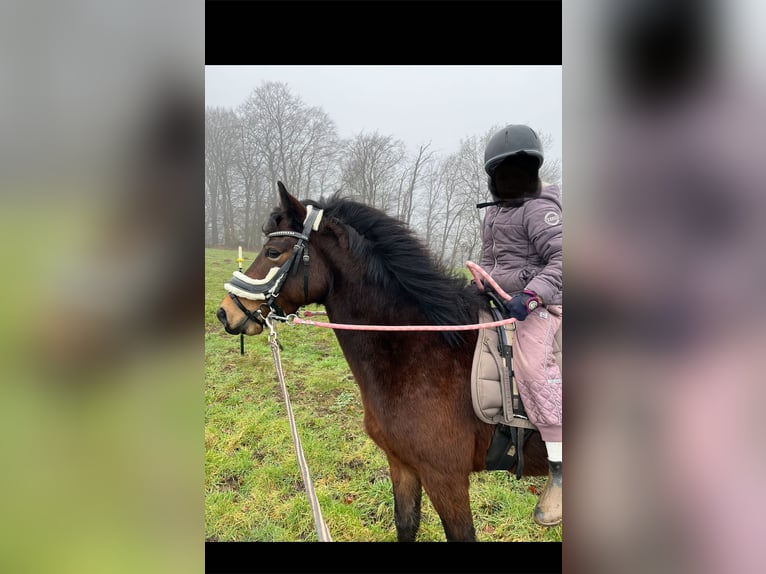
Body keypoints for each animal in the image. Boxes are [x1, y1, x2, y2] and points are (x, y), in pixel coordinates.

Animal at [216, 182, 552, 544]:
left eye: (273, 252)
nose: (225, 312)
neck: (424, 348)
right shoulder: (402, 464)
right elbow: (406, 524)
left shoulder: (445, 478)